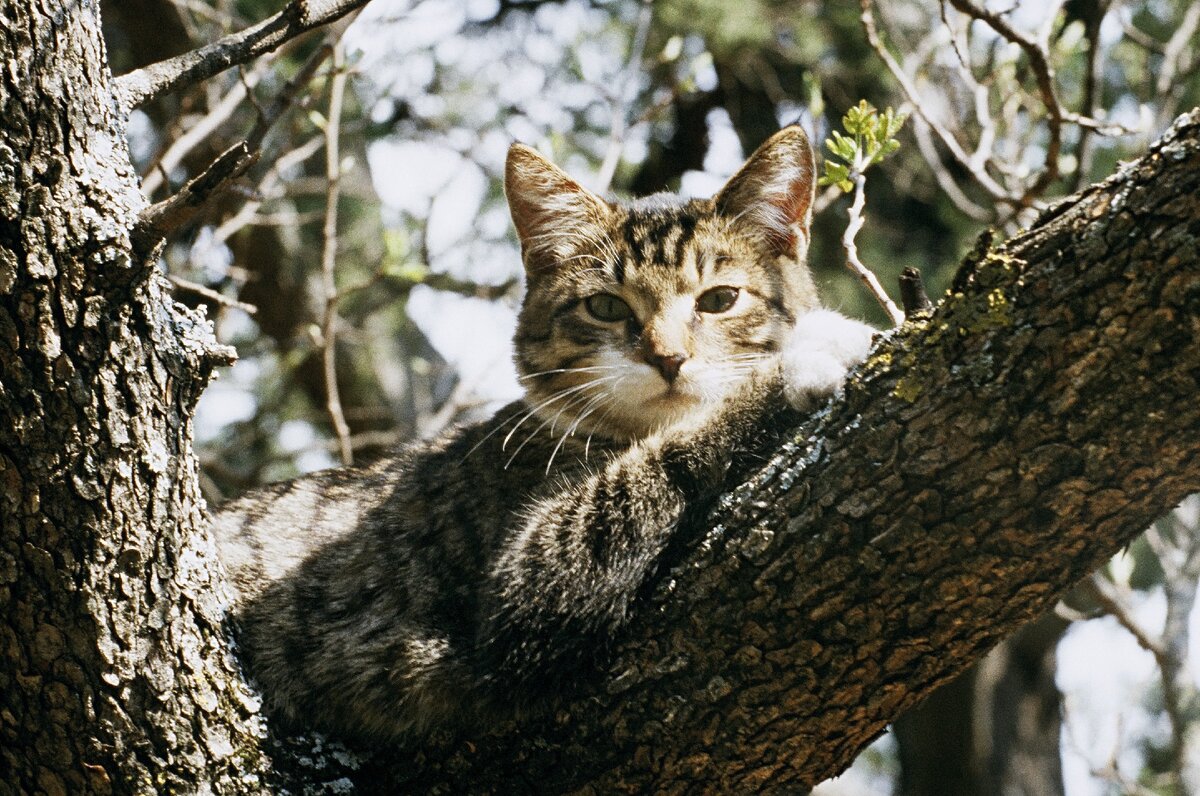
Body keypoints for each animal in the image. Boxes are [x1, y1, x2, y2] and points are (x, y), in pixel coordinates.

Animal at [211, 126, 878, 749]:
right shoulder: (526, 582)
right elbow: (664, 454)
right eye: (605, 308)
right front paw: (804, 358)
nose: (668, 357)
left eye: (720, 299)